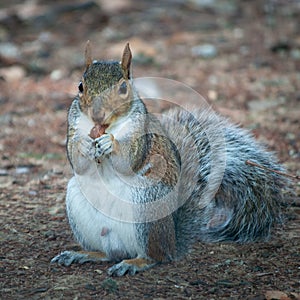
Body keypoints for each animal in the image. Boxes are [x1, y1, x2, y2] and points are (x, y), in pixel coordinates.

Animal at [51, 42, 288, 276]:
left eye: (123, 88)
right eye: (80, 86)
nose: (97, 115)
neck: (106, 127)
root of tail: (173, 242)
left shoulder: (141, 133)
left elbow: (128, 162)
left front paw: (111, 143)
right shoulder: (73, 125)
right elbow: (78, 163)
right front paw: (83, 145)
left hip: (147, 205)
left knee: (156, 256)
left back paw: (134, 263)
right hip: (80, 206)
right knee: (108, 253)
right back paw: (83, 254)